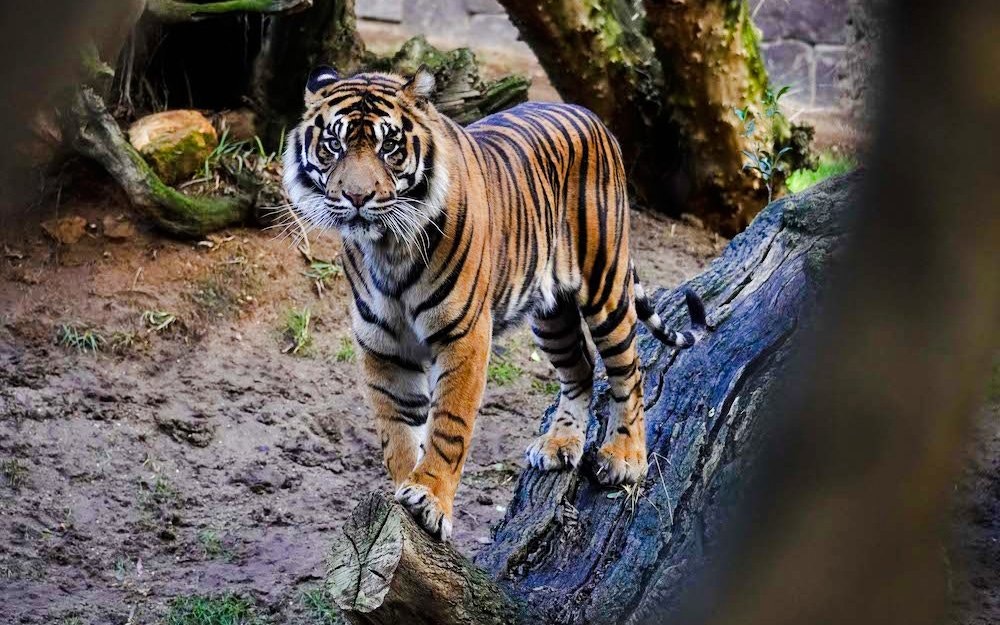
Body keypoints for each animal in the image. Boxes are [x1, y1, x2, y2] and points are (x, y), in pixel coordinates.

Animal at [282, 66, 707, 541]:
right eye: (333, 145)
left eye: (388, 147)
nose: (356, 198)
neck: (386, 248)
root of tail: (590, 115)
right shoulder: (383, 347)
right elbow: (397, 434)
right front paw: (404, 491)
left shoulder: (464, 335)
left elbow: (448, 425)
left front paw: (428, 499)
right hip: (551, 313)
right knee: (580, 366)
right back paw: (560, 444)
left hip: (605, 285)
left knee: (627, 370)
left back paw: (625, 457)